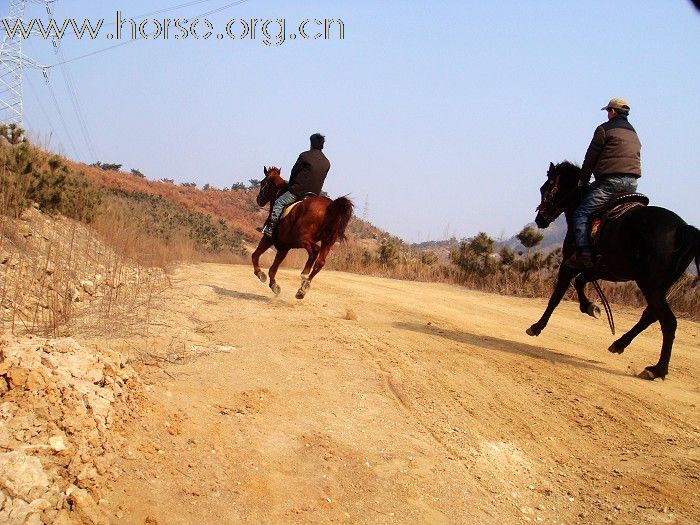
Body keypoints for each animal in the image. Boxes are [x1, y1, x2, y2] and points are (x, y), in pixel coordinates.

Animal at [252, 168, 352, 298]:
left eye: (263, 182)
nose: (259, 199)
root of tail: (331, 206)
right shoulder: (284, 248)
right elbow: (273, 269)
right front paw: (274, 286)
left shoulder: (269, 239)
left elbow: (255, 255)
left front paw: (260, 274)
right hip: (328, 242)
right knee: (320, 262)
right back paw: (302, 289)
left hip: (303, 238)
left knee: (315, 250)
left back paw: (304, 275)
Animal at [528, 162, 696, 378]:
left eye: (545, 188)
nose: (540, 220)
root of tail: (681, 229)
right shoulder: (599, 269)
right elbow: (580, 282)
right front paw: (591, 307)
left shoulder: (568, 265)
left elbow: (555, 298)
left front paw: (536, 327)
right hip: (660, 285)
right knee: (651, 315)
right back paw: (619, 344)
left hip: (650, 284)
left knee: (668, 321)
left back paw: (657, 369)